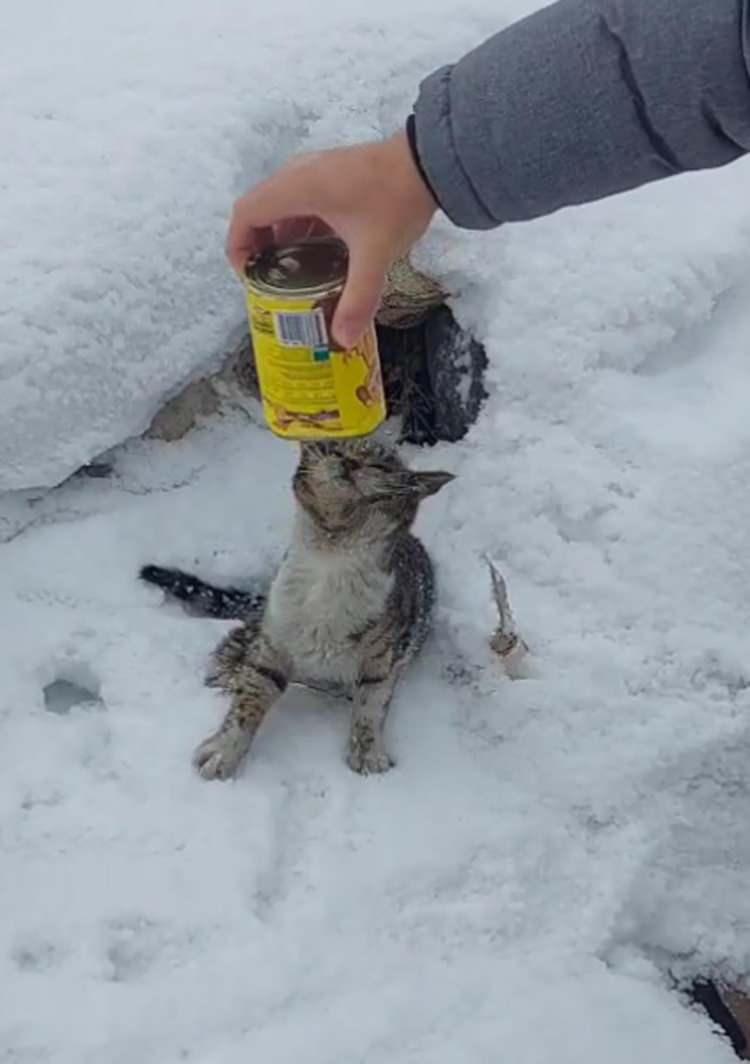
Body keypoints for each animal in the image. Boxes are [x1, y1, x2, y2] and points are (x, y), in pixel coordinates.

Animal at [141, 436, 455, 778]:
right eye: (336, 450)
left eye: (379, 463)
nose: (348, 463)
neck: (332, 555)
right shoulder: (273, 644)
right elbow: (249, 699)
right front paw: (224, 750)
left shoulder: (385, 655)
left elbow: (370, 704)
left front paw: (367, 753)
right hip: (260, 627)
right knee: (234, 648)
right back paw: (229, 672)